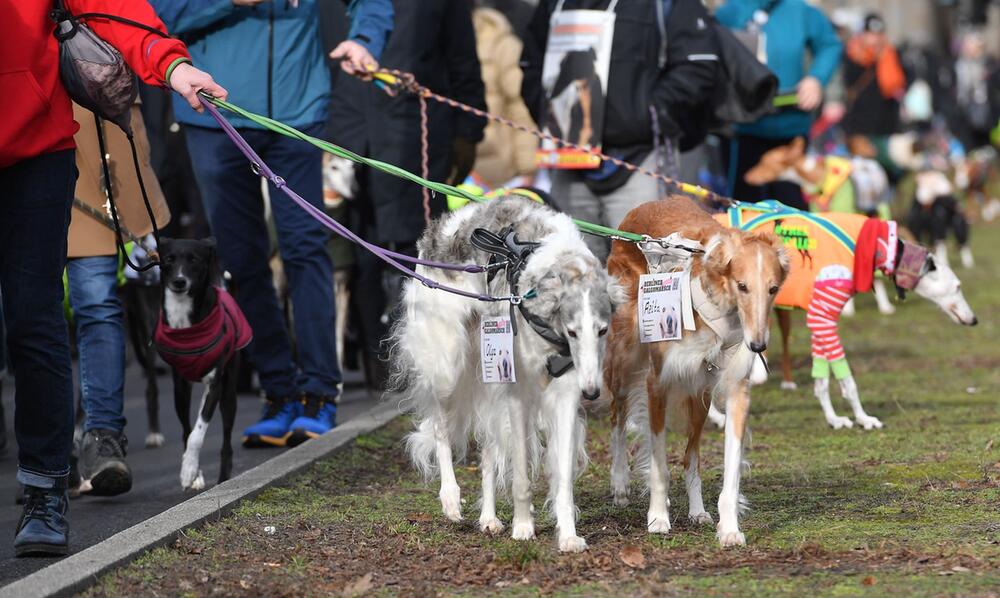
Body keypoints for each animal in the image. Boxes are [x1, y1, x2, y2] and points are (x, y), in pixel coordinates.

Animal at [156, 239, 252, 492]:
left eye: (194, 260)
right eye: (168, 259)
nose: (179, 281)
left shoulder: (215, 385)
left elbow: (197, 433)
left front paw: (189, 470)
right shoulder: (180, 386)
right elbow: (187, 431)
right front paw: (194, 471)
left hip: (229, 394)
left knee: (226, 439)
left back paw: (223, 476)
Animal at [392, 196, 620, 552]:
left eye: (602, 330)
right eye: (572, 331)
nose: (593, 392)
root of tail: (439, 226)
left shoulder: (565, 390)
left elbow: (563, 478)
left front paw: (568, 535)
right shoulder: (518, 390)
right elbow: (522, 477)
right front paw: (523, 527)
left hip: (489, 373)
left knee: (487, 451)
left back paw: (488, 518)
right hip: (448, 362)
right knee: (441, 428)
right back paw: (451, 500)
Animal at [600, 198, 788, 548]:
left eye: (772, 288)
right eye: (742, 285)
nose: (758, 345)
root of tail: (647, 205)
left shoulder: (735, 387)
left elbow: (728, 471)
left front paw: (729, 529)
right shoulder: (657, 382)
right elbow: (659, 466)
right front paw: (658, 517)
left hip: (700, 393)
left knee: (691, 456)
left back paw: (698, 511)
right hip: (625, 355)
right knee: (617, 415)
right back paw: (619, 482)